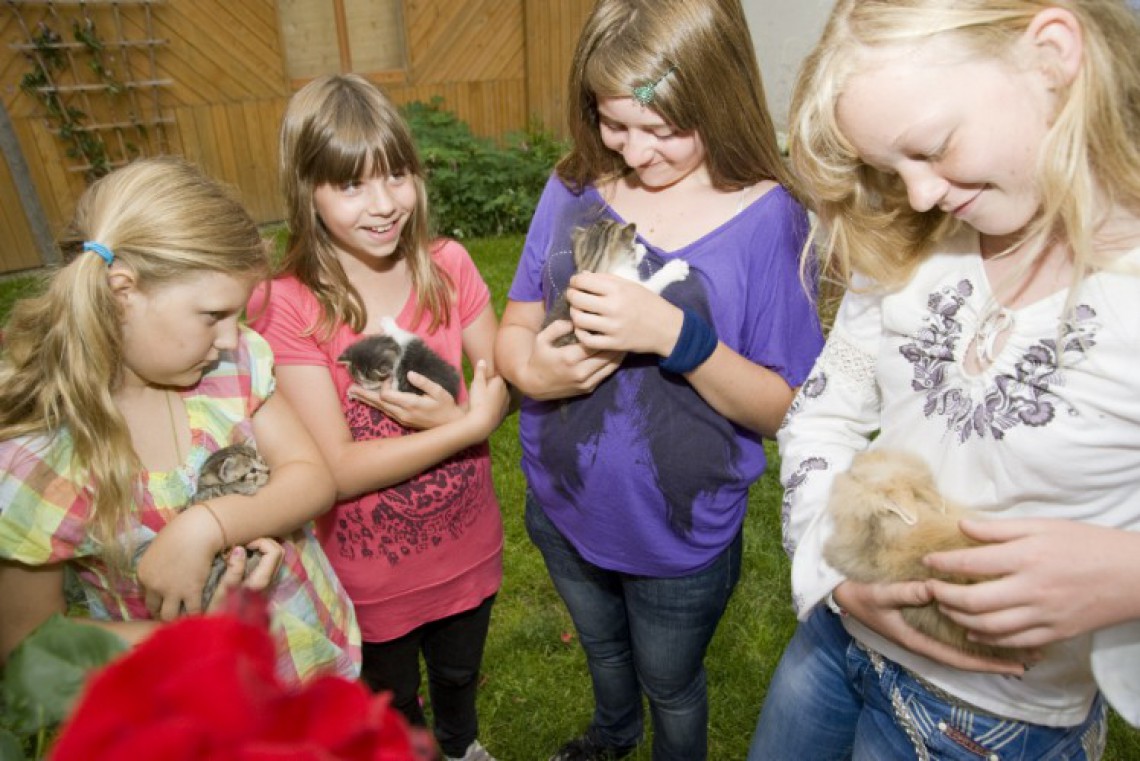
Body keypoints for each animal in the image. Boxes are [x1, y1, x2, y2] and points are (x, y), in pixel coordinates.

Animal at [540, 218, 688, 346]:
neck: (593, 266)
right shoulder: (635, 289)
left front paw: (640, 249)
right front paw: (675, 269)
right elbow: (654, 282)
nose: (636, 245)